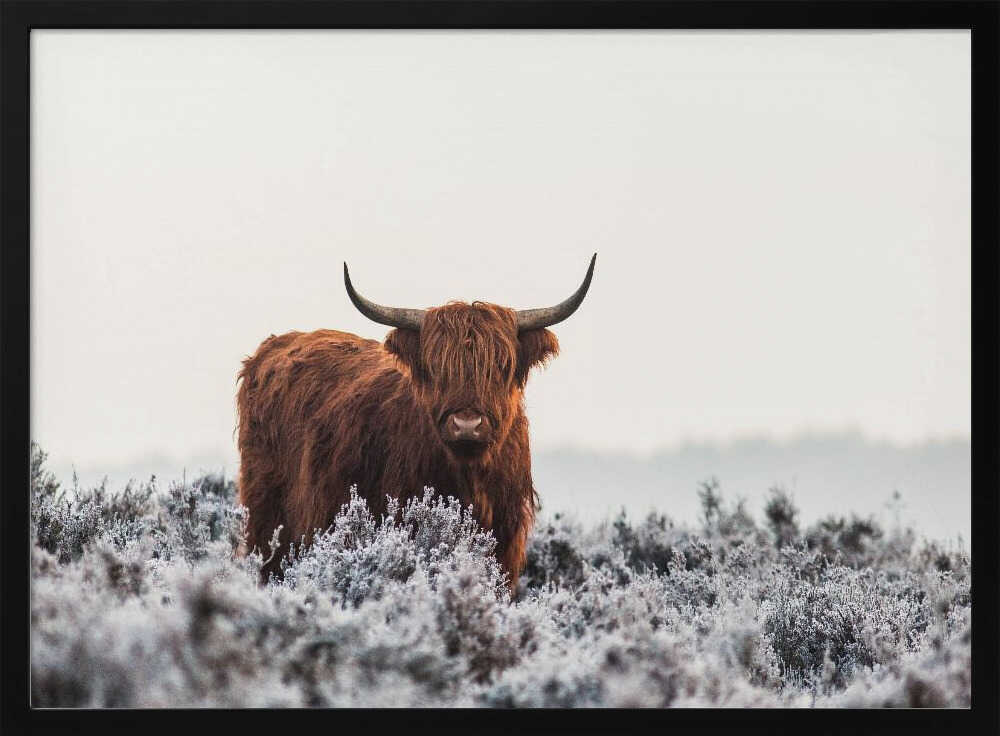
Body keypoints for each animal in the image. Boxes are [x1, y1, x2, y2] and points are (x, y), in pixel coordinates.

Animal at [236, 254, 596, 592]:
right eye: (437, 367)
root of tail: (274, 346)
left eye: (501, 365)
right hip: (267, 519)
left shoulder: (505, 546)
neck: (468, 478)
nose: (467, 424)